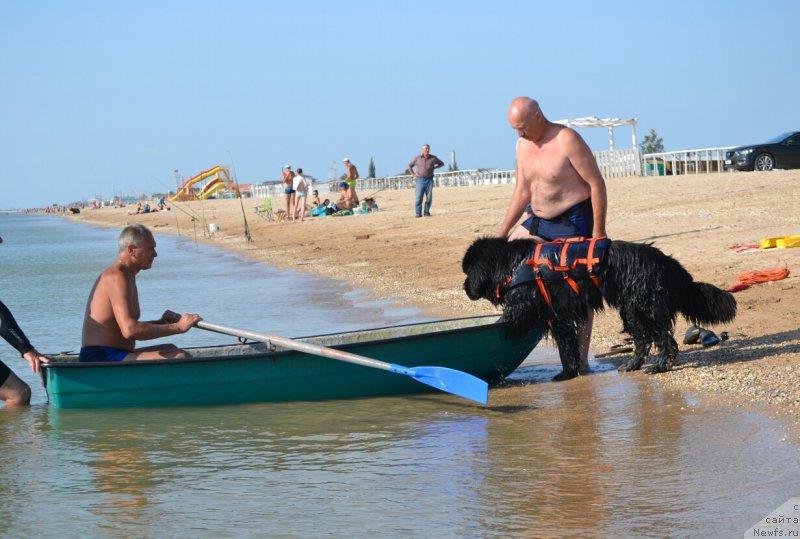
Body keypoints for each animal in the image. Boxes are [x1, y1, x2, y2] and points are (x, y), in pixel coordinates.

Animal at [462, 236, 736, 380]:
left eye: (468, 273)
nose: (464, 286)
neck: (511, 264)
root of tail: (666, 261)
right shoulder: (559, 316)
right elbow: (567, 346)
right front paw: (567, 373)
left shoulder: (525, 304)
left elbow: (510, 319)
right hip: (632, 310)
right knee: (643, 340)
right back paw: (632, 365)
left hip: (647, 307)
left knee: (666, 341)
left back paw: (658, 367)